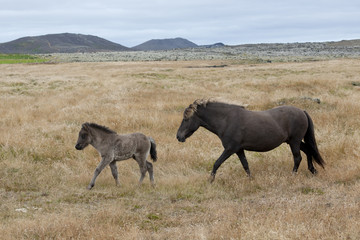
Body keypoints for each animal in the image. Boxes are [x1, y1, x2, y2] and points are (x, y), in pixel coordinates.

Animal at [176, 99, 324, 182]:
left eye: (186, 119)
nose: (178, 136)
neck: (226, 120)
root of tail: (302, 111)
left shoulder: (230, 149)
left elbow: (217, 163)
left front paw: (210, 180)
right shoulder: (239, 150)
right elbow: (245, 165)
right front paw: (251, 180)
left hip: (294, 141)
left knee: (298, 157)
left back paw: (293, 175)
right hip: (293, 141)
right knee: (308, 151)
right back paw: (313, 170)